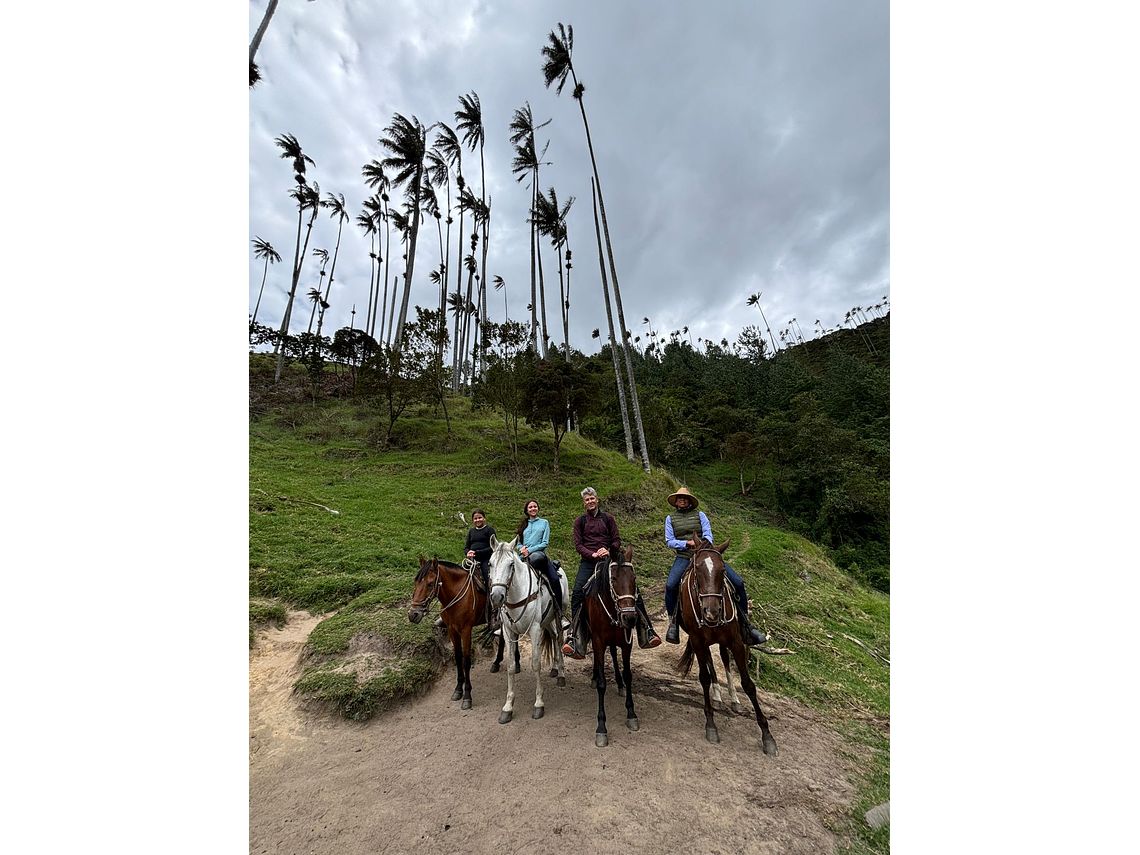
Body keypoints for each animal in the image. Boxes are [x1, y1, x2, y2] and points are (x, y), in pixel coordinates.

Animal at [410, 556, 517, 711]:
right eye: (415, 582)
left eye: (430, 584)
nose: (413, 615)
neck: (456, 594)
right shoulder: (451, 630)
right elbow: (458, 657)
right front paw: (458, 689)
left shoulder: (466, 630)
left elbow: (466, 661)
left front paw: (467, 695)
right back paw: (497, 663)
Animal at [485, 535, 570, 725]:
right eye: (490, 564)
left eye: (511, 564)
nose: (496, 597)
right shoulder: (509, 632)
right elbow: (510, 666)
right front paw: (507, 707)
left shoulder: (535, 630)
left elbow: (536, 664)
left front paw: (539, 704)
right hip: (547, 621)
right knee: (553, 637)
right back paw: (554, 668)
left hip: (558, 614)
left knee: (559, 639)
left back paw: (561, 674)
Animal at [588, 544, 642, 747]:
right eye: (613, 579)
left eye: (634, 578)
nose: (630, 618)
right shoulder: (598, 641)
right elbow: (602, 684)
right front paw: (601, 727)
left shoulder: (627, 642)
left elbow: (628, 675)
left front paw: (631, 713)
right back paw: (594, 675)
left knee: (612, 654)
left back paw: (619, 684)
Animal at [670, 538, 779, 752]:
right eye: (697, 568)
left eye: (722, 569)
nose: (711, 612)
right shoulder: (697, 640)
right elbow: (704, 678)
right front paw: (711, 725)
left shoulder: (735, 641)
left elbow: (748, 684)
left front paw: (767, 735)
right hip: (702, 642)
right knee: (711, 663)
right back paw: (718, 697)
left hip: (722, 640)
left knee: (724, 659)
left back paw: (733, 700)